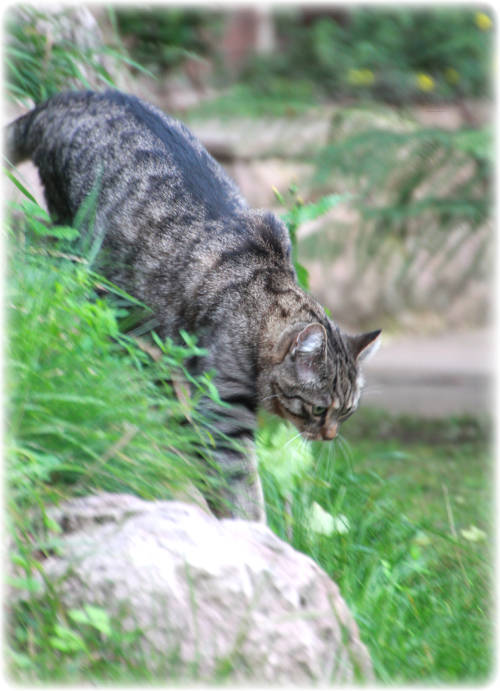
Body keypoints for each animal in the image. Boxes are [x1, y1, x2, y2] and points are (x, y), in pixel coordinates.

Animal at [5, 93, 380, 524]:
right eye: (319, 409)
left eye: (346, 412)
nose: (329, 435)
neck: (261, 294)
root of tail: (69, 99)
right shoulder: (225, 412)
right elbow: (243, 489)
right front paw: (250, 530)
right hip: (88, 259)